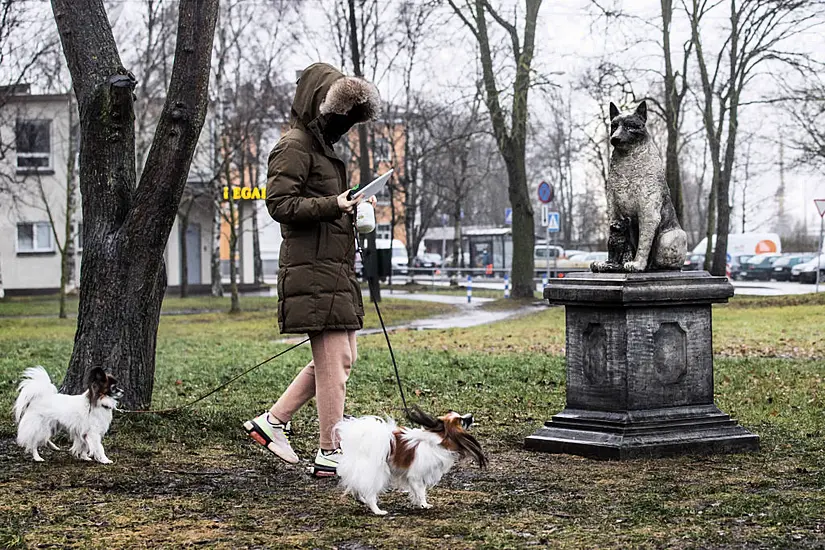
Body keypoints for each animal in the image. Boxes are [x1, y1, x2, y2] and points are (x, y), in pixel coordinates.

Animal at [334, 406, 490, 516]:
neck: (441, 438)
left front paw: (418, 503)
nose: (471, 416)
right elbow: (421, 491)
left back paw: (361, 499)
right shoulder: (416, 476)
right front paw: (424, 504)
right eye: (462, 421)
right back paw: (377, 510)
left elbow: (417, 491)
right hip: (377, 473)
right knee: (370, 493)